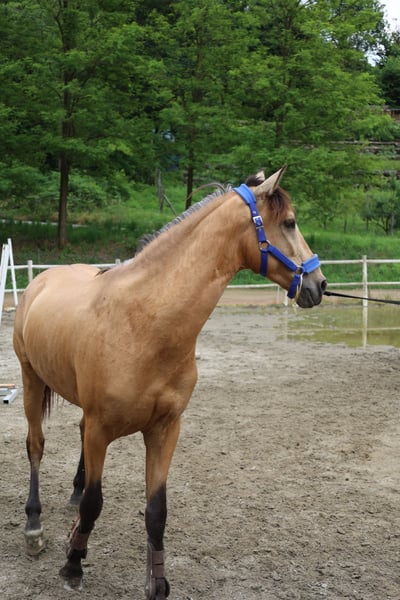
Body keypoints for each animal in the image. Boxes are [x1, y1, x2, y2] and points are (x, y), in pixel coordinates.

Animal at [13, 166, 326, 599]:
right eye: (290, 222)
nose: (319, 284)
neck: (143, 322)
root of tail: (41, 280)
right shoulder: (101, 429)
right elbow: (95, 502)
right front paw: (73, 564)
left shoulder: (164, 429)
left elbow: (156, 511)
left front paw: (157, 582)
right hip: (30, 379)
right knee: (36, 446)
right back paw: (33, 527)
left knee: (74, 439)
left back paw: (71, 495)